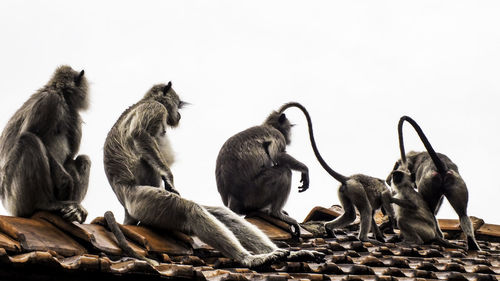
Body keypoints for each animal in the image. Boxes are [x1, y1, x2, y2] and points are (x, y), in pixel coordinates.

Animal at [0, 64, 90, 222]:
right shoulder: (50, 101)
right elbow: (32, 133)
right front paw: (65, 181)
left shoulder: (73, 115)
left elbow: (70, 158)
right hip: (13, 197)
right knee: (29, 140)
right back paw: (45, 204)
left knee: (83, 159)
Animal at [216, 105, 308, 236]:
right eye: (289, 127)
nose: (291, 137)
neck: (268, 125)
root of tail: (231, 198)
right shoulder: (277, 135)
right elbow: (278, 156)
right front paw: (305, 170)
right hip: (255, 193)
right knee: (285, 171)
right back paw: (276, 213)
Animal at [274, 102, 402, 243]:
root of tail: (348, 179)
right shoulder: (387, 194)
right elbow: (384, 202)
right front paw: (391, 222)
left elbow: (373, 215)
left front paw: (381, 235)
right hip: (356, 189)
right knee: (365, 210)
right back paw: (363, 238)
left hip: (345, 190)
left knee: (351, 215)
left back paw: (329, 228)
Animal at [386, 115, 480, 250]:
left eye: (396, 167)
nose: (389, 178)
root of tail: (442, 167)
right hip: (456, 181)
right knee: (463, 214)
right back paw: (472, 244)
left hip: (428, 182)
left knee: (430, 210)